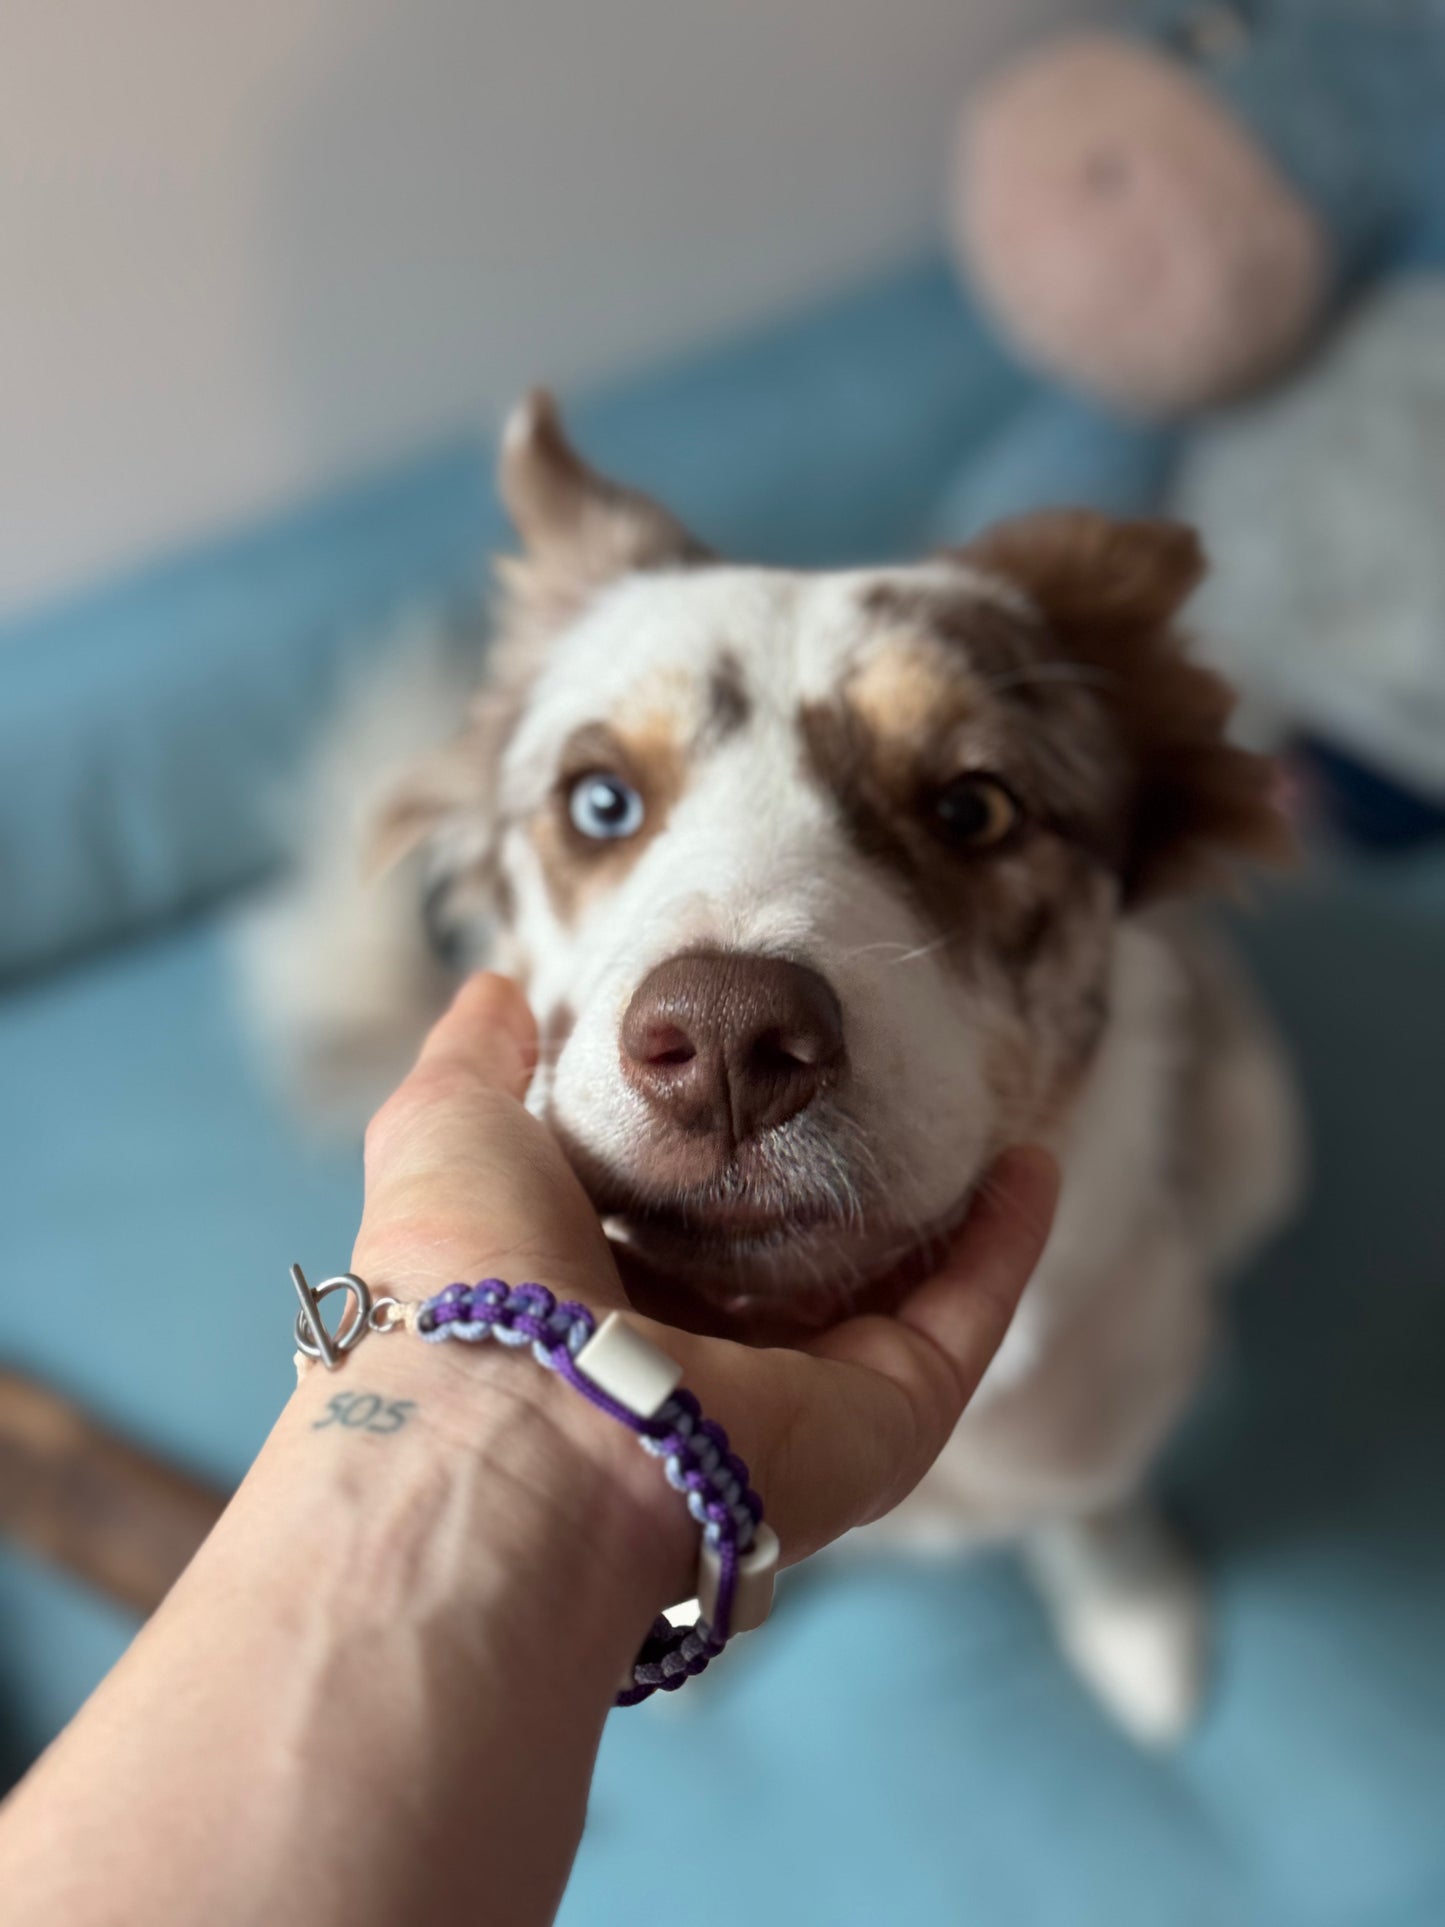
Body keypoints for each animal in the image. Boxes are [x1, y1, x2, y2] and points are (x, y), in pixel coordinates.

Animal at [243, 395, 1310, 1749]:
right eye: (599, 801)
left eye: (973, 809)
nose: (724, 1045)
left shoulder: (1110, 1386)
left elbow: (1092, 1502)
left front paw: (1132, 1615)